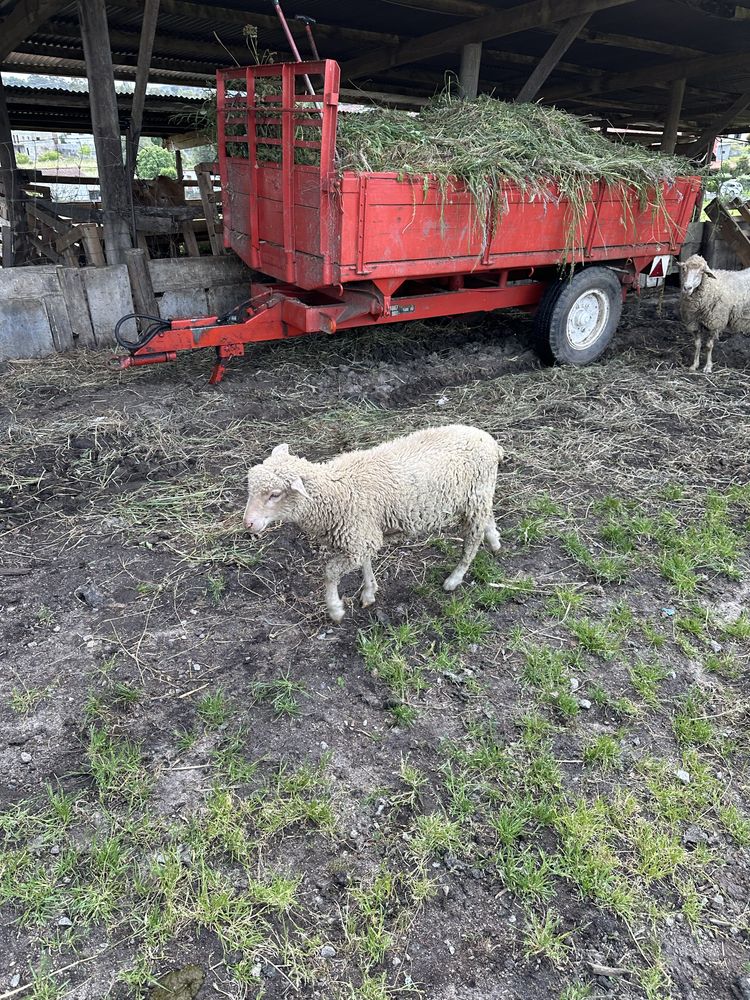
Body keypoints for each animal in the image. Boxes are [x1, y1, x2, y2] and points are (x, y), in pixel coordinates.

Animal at [247, 424, 506, 624]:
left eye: (275, 494)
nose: (247, 523)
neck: (334, 491)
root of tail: (491, 441)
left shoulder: (357, 537)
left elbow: (330, 572)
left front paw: (335, 609)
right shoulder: (362, 534)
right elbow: (366, 563)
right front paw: (369, 592)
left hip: (475, 497)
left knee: (472, 541)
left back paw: (454, 579)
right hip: (479, 495)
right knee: (487, 518)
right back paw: (494, 541)